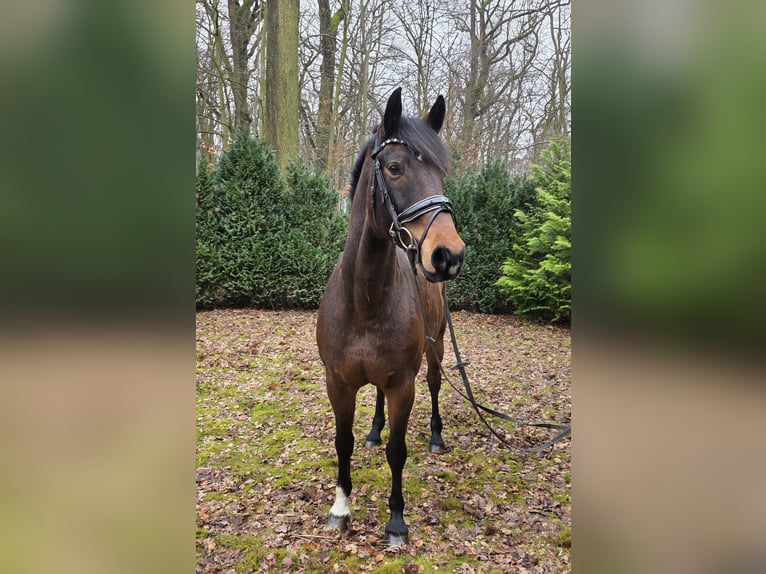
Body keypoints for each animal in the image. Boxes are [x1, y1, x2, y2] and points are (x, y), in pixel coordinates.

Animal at [316, 88, 465, 546]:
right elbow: (342, 442)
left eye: (441, 173)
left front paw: (396, 521)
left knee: (435, 386)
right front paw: (341, 508)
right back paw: (374, 429)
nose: (449, 254)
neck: (364, 302)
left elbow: (397, 452)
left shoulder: (403, 384)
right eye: (395, 168)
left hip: (436, 351)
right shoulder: (338, 382)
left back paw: (435, 437)